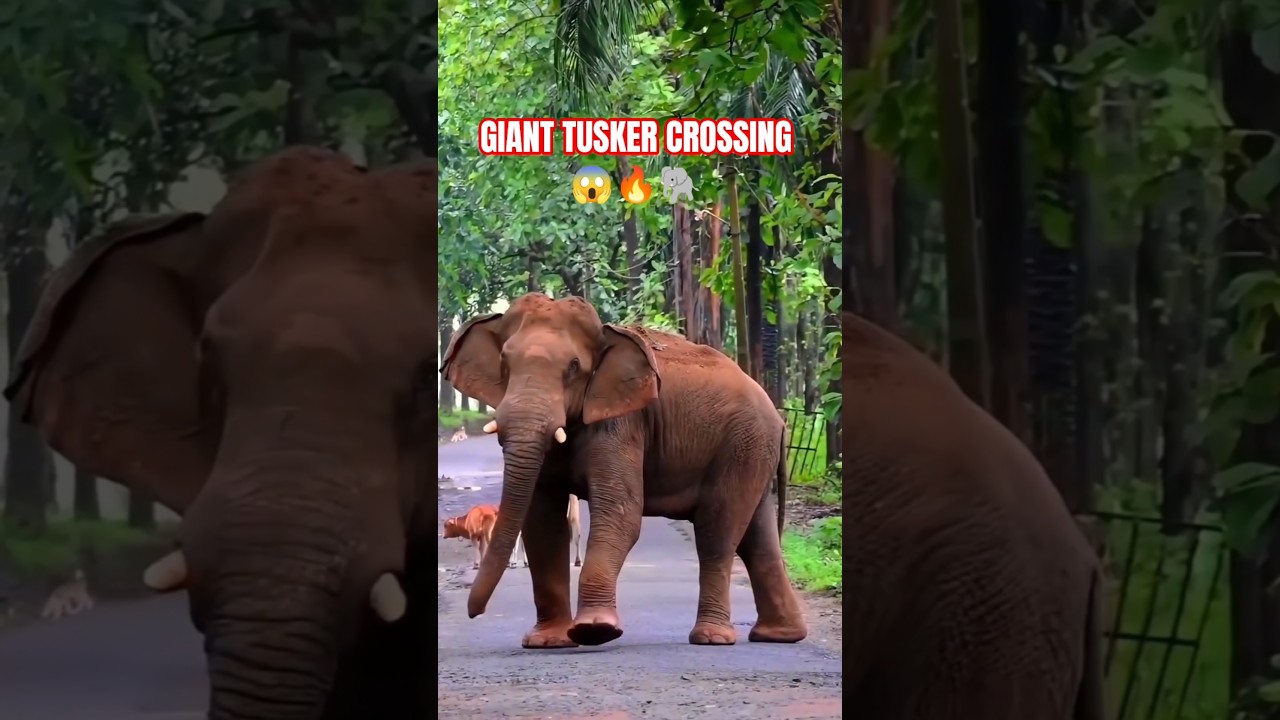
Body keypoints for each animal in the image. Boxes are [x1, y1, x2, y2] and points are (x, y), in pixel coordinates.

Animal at [440, 294, 807, 648]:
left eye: (574, 367)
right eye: (504, 362)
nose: (474, 613)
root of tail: (779, 420)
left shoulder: (623, 422)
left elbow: (620, 513)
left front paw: (593, 631)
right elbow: (542, 519)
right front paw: (546, 642)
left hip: (742, 445)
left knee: (717, 532)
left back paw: (712, 638)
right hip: (752, 452)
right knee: (757, 538)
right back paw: (779, 635)